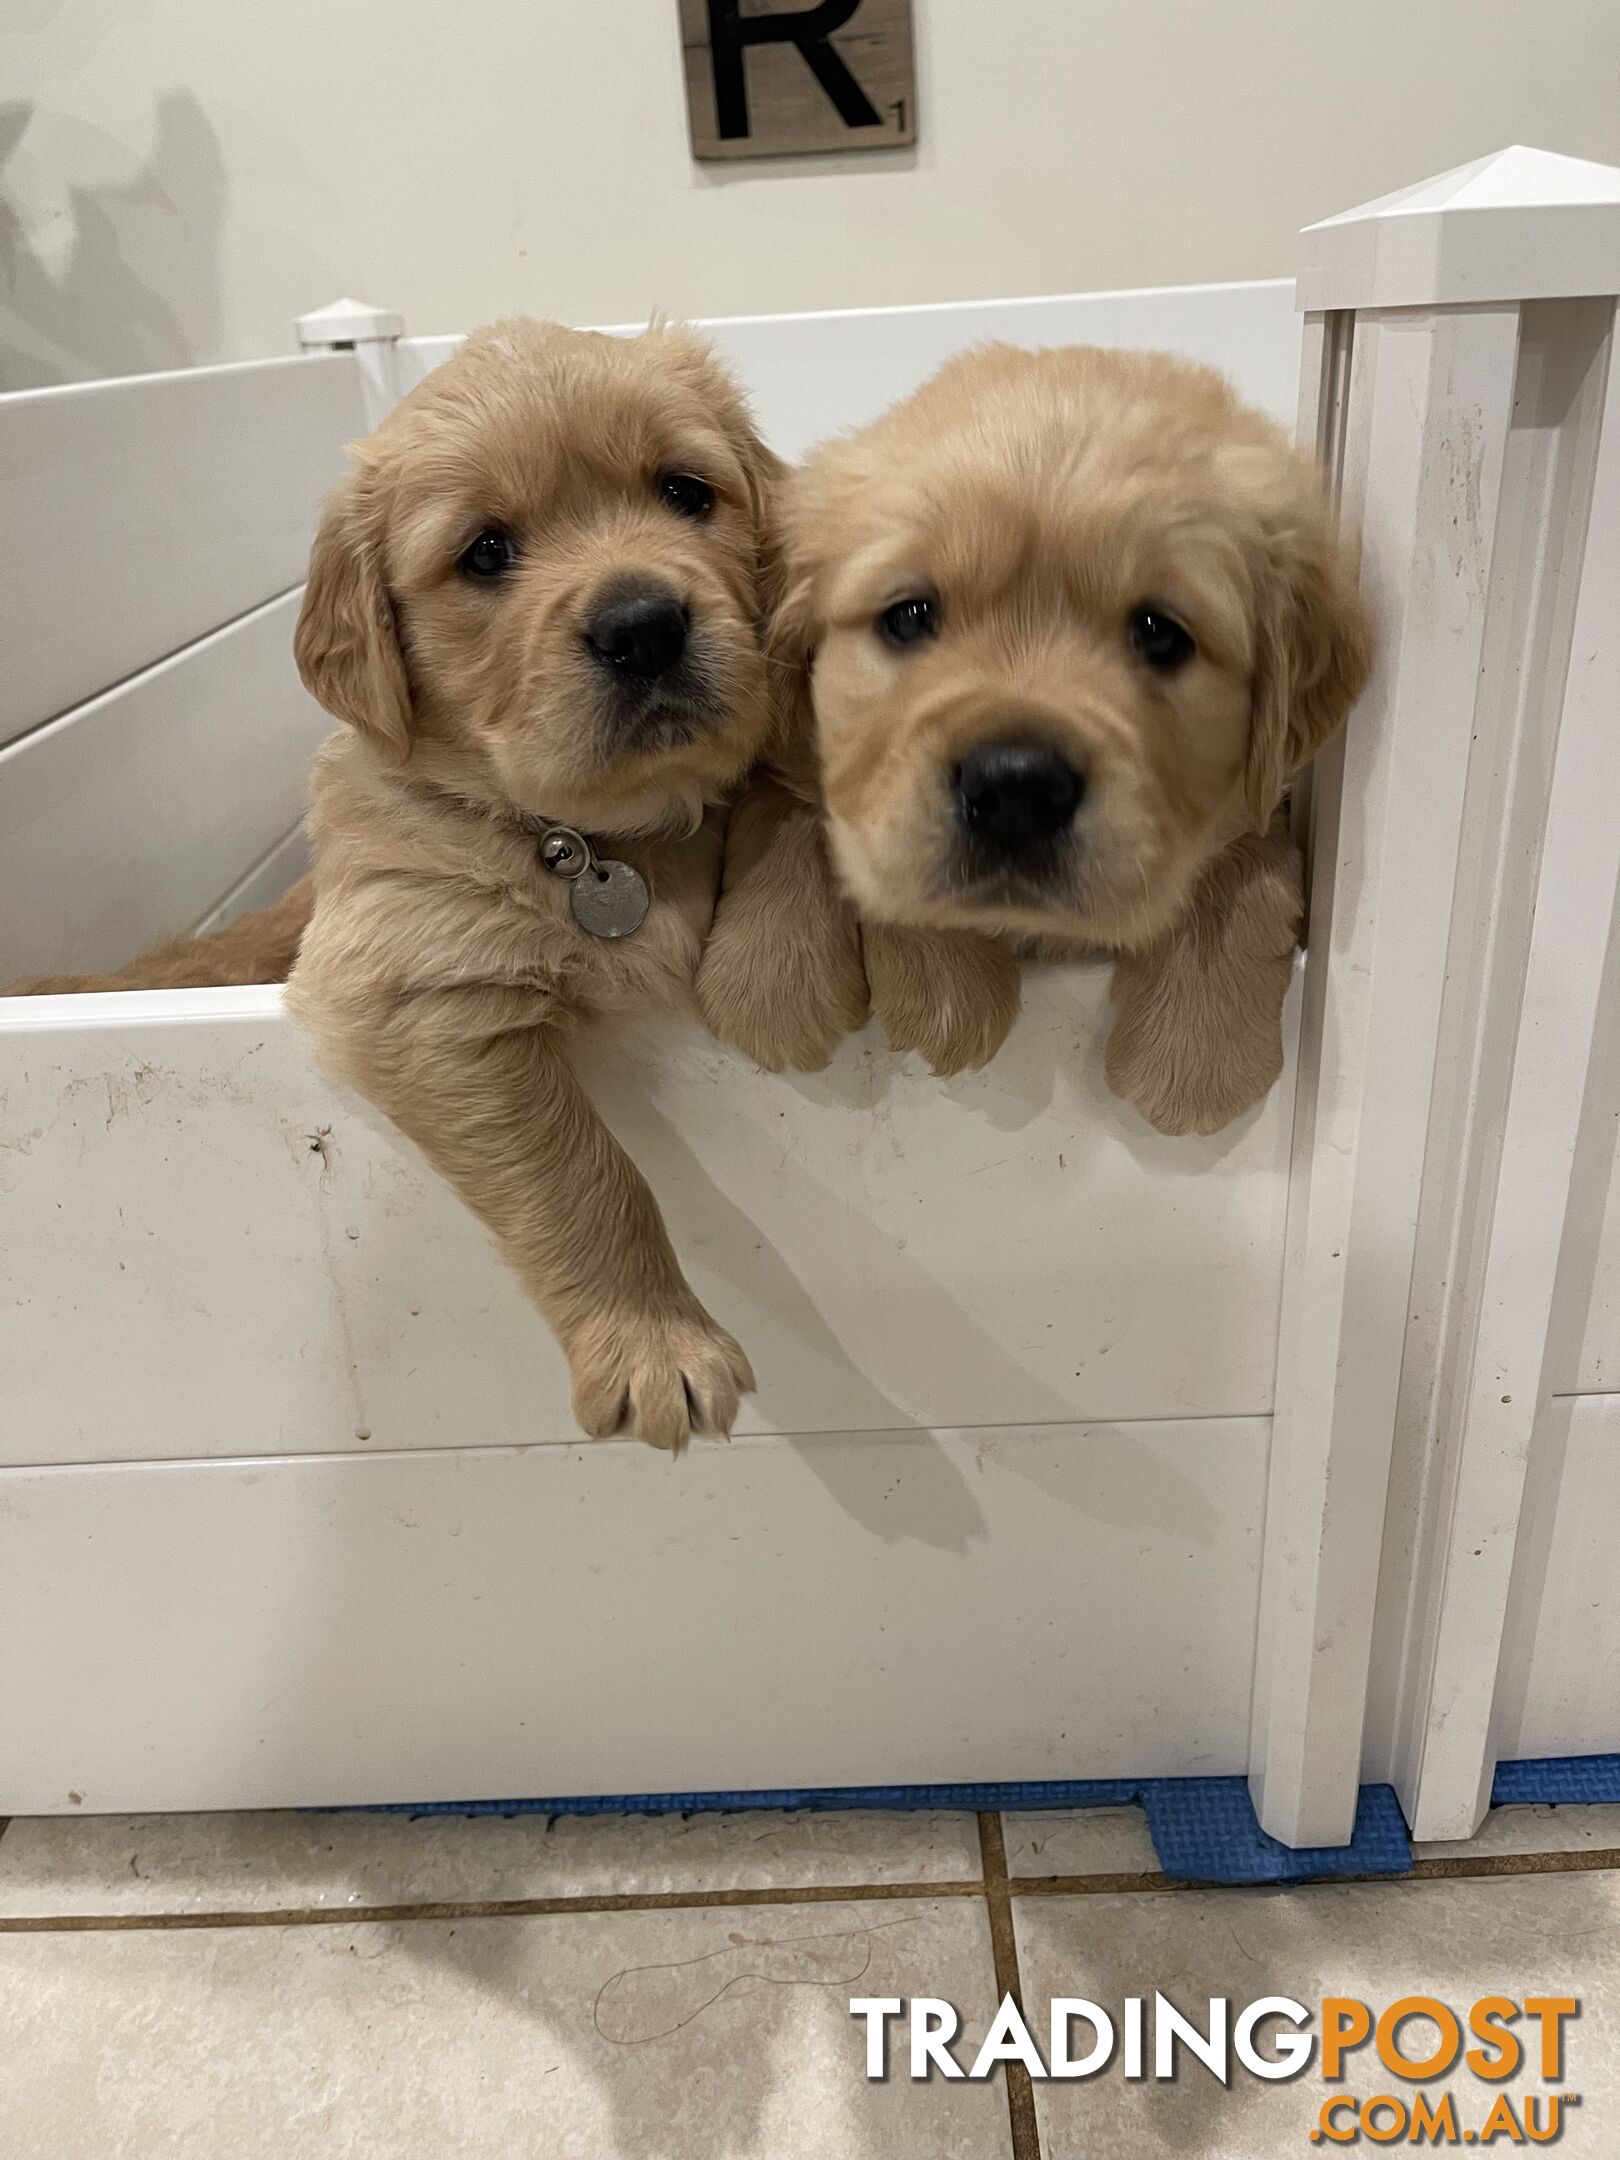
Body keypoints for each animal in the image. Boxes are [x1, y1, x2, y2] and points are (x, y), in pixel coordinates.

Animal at [781, 341, 1373, 1131]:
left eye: (1160, 634)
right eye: (908, 616)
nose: (1016, 789)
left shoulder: (1262, 796)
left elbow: (1247, 853)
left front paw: (1196, 1054)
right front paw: (945, 983)